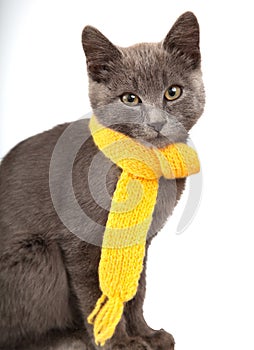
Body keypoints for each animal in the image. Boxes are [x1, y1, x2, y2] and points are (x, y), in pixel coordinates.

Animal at [0, 10, 204, 350]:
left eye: (172, 92)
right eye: (130, 99)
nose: (156, 123)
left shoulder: (140, 240)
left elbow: (135, 290)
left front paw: (147, 335)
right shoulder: (80, 242)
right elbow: (99, 294)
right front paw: (117, 342)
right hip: (39, 252)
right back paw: (68, 338)